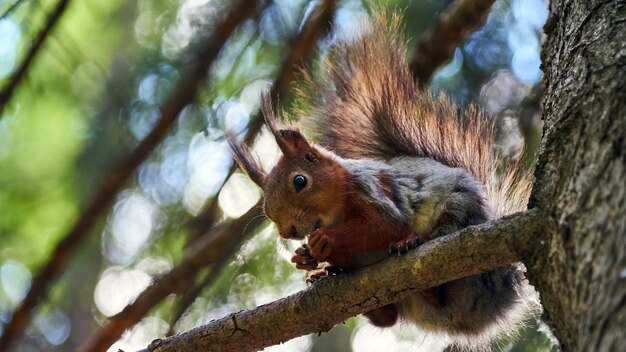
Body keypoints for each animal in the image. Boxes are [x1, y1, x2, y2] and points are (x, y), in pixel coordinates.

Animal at [227, 13, 540, 350]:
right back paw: (333, 276)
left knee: (444, 235)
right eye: (267, 211)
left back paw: (413, 242)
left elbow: (386, 224)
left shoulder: (372, 190)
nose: (288, 232)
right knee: (390, 316)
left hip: (459, 212)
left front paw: (326, 242)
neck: (336, 211)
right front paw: (305, 258)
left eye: (300, 181)